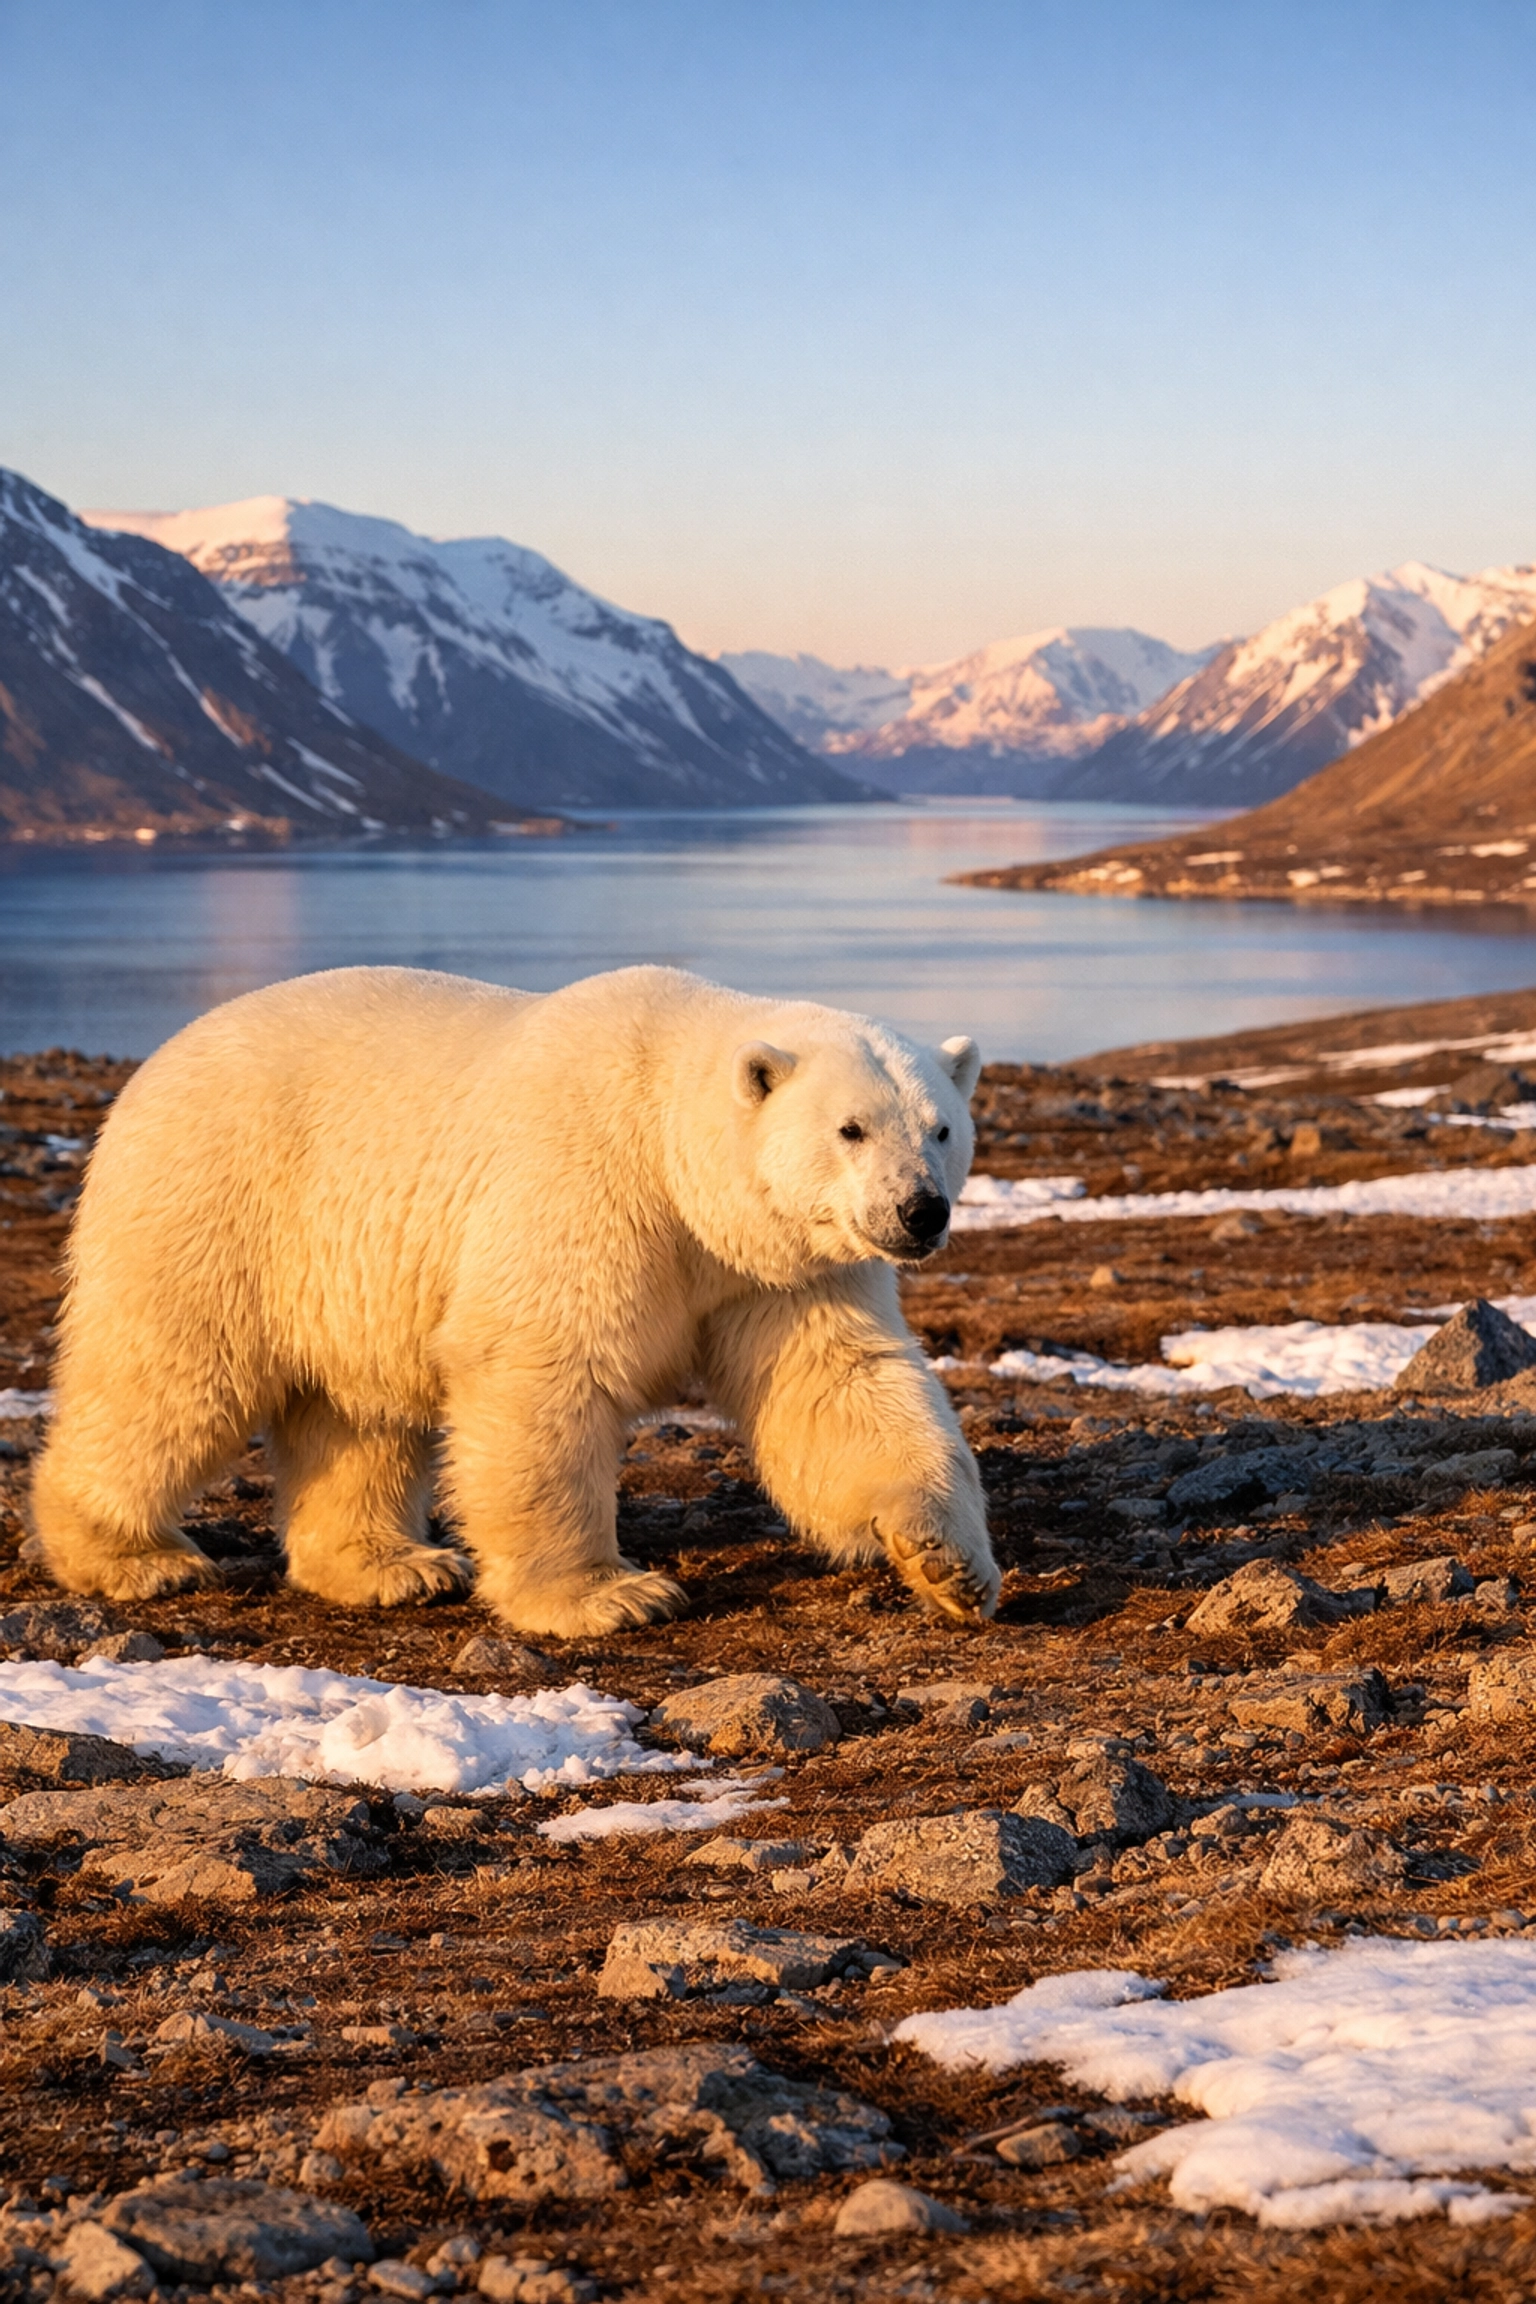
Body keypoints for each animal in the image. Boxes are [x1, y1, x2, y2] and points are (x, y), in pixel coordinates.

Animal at [33, 964, 998, 1637]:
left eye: (942, 1127)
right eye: (851, 1128)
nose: (920, 1211)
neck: (671, 1152)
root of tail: (156, 1063)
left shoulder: (777, 1272)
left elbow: (838, 1385)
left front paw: (946, 1562)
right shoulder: (586, 1186)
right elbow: (545, 1369)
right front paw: (613, 1596)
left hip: (349, 1276)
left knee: (362, 1419)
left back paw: (392, 1565)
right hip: (220, 1203)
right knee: (174, 1376)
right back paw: (130, 1556)